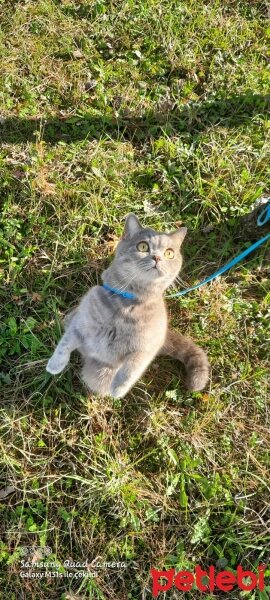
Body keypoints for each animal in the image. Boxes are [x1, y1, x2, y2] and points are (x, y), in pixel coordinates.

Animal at [46, 212, 210, 398]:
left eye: (169, 253)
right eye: (143, 246)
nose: (157, 257)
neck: (126, 304)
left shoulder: (145, 348)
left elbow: (132, 368)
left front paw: (118, 389)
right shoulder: (80, 322)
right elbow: (65, 343)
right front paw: (54, 364)